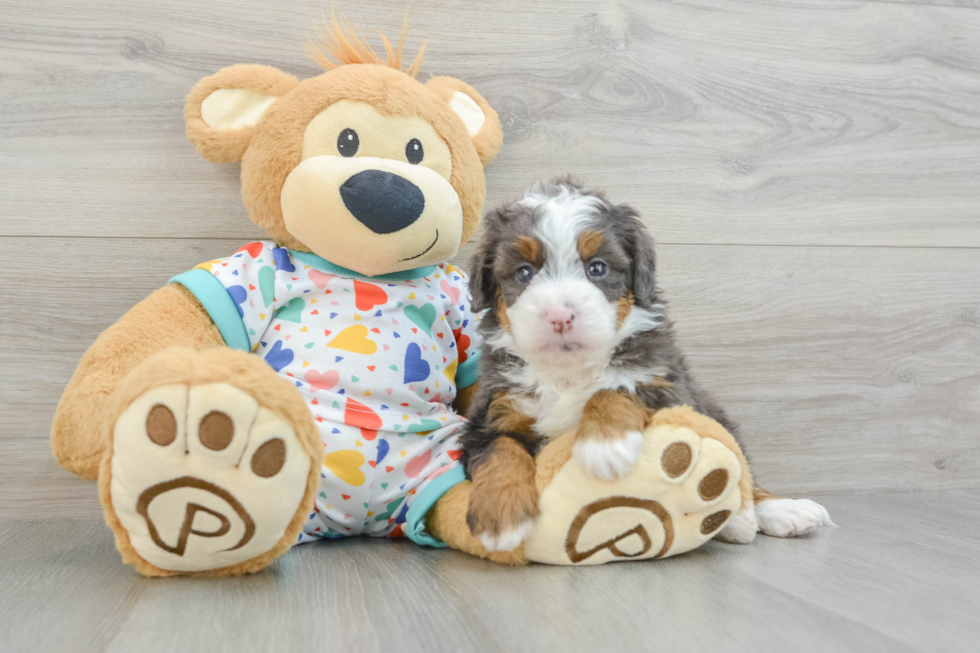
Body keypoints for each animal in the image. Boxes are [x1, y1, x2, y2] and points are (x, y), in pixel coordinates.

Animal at [462, 177, 836, 552]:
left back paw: (771, 513)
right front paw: (501, 517)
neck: (568, 372)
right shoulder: (492, 411)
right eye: (523, 273)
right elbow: (500, 449)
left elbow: (618, 387)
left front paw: (605, 446)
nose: (560, 316)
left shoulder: (665, 382)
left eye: (597, 268)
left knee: (742, 471)